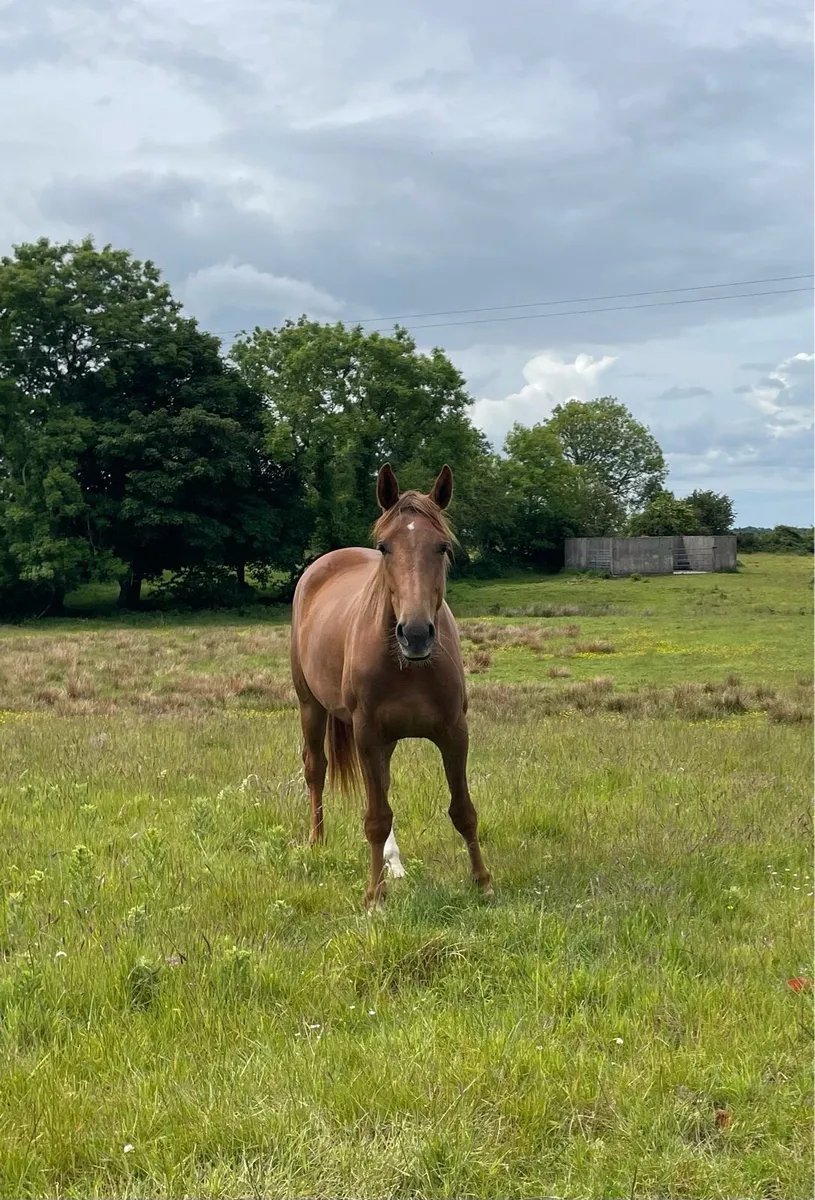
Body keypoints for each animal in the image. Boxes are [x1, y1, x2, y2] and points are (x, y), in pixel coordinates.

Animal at [290, 463, 492, 907]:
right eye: (385, 547)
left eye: (442, 547)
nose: (415, 634)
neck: (411, 667)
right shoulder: (367, 733)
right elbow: (376, 817)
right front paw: (373, 897)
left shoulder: (454, 732)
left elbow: (463, 810)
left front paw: (483, 881)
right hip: (311, 706)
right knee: (316, 769)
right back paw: (316, 842)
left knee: (381, 783)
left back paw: (393, 862)